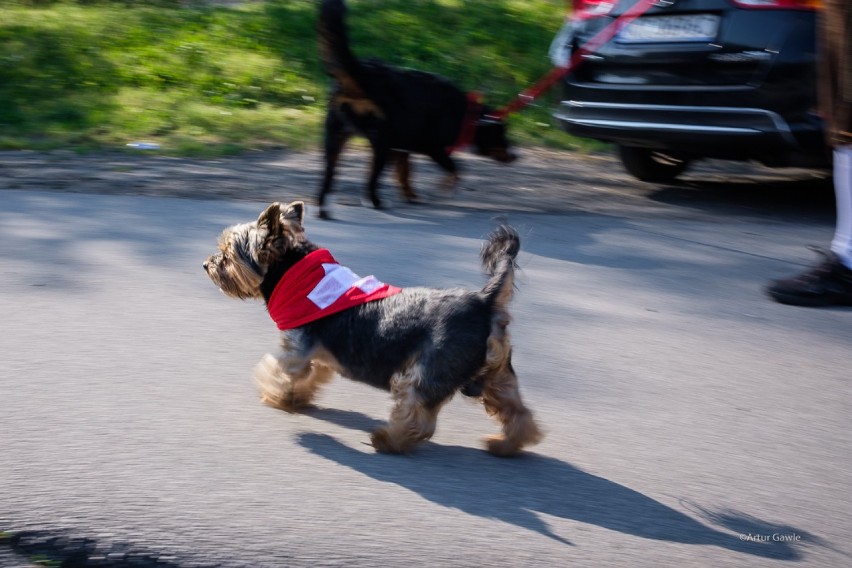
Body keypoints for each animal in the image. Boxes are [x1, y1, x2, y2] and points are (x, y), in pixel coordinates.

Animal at [312, 0, 512, 220]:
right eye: (502, 135)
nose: (515, 156)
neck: (469, 116)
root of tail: (362, 74)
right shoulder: (432, 147)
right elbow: (454, 169)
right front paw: (446, 187)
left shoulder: (402, 148)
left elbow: (404, 174)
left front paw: (411, 195)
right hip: (381, 142)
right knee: (370, 179)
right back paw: (375, 202)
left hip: (336, 136)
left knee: (328, 176)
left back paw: (324, 209)